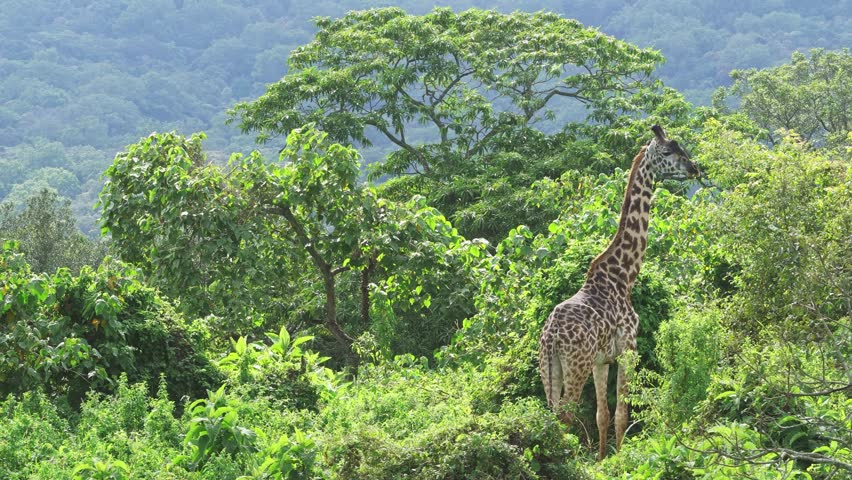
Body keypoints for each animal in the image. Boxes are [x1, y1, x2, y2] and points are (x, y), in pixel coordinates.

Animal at [539, 125, 700, 460]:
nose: (694, 168)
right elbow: (622, 414)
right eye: (668, 152)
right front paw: (620, 460)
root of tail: (551, 336)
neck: (624, 276)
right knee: (565, 416)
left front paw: (601, 461)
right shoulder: (628, 348)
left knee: (551, 415)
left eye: (682, 148)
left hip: (549, 368)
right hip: (575, 364)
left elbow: (602, 414)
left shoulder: (601, 360)